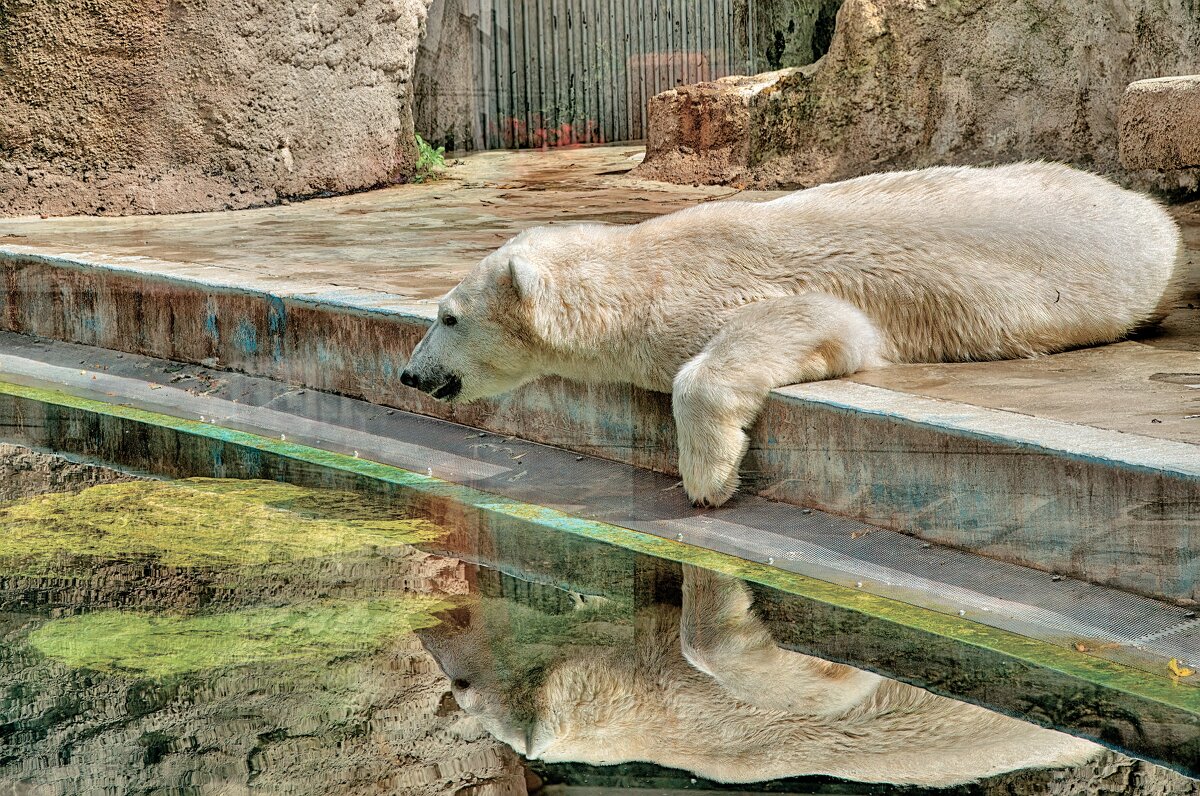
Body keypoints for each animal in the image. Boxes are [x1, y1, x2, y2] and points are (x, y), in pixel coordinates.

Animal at [400, 164, 1180, 506]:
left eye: (447, 317)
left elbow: (810, 322)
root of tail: (1151, 210)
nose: (408, 374)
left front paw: (709, 478)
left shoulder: (740, 284)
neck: (641, 278)